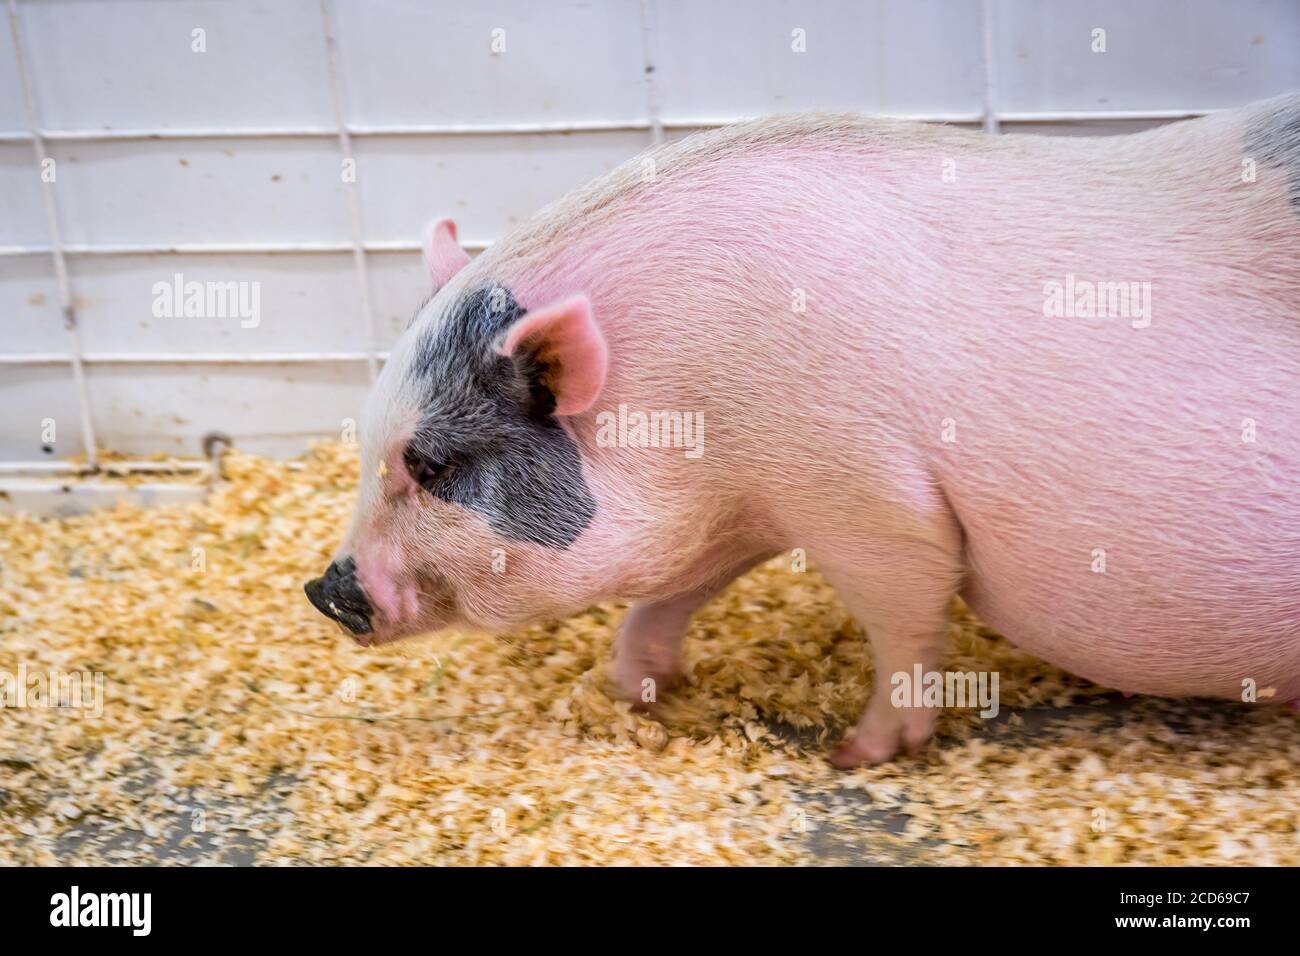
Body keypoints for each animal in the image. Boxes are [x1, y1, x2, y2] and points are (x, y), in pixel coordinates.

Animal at [306, 92, 1300, 765]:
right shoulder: (750, 504)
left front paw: (858, 754)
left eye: (433, 464)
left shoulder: (867, 497)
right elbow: (673, 594)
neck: (690, 404)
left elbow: (906, 612)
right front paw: (634, 694)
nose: (325, 589)